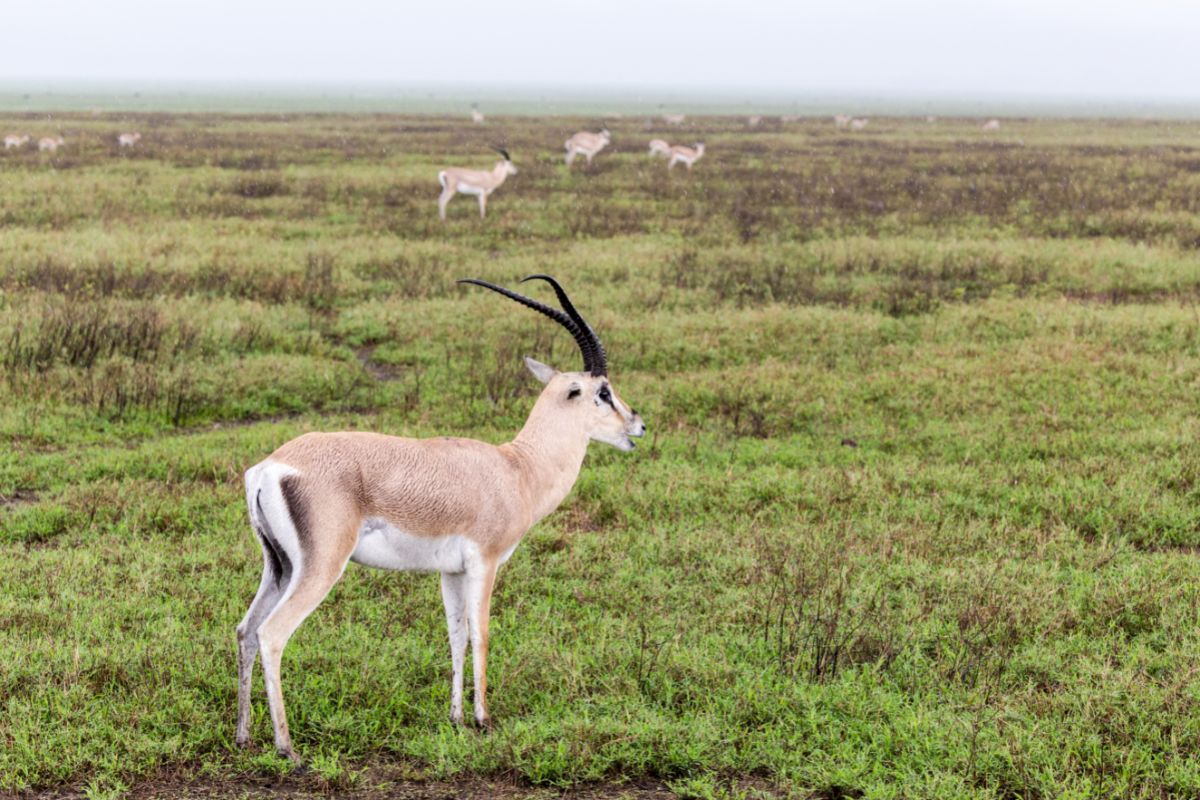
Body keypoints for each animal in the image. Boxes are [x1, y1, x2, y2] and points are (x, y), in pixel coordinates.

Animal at [235, 275, 645, 764]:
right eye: (603, 392)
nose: (638, 424)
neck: (517, 469)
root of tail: (269, 467)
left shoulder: (451, 571)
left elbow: (457, 635)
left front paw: (456, 719)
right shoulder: (485, 562)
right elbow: (482, 633)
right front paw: (484, 719)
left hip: (279, 567)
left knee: (246, 630)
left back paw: (242, 737)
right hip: (320, 568)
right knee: (272, 634)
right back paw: (287, 748)